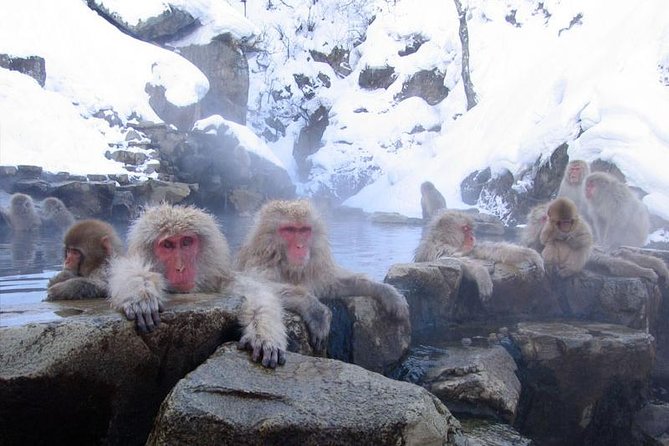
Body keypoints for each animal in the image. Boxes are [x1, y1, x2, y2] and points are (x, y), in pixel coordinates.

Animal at [108, 204, 287, 368]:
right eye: (167, 245)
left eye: (186, 242)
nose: (180, 268)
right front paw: (141, 294)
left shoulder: (221, 281)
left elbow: (257, 293)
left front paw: (264, 336)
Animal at [236, 200, 410, 352]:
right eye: (289, 230)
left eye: (304, 230)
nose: (300, 246)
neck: (289, 268)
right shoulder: (260, 264)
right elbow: (256, 286)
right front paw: (316, 310)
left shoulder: (312, 270)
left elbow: (332, 285)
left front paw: (385, 291)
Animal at [414, 210, 544, 300]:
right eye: (465, 228)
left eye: (470, 229)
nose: (472, 237)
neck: (445, 241)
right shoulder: (437, 248)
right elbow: (451, 258)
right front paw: (481, 273)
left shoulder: (469, 248)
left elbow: (489, 250)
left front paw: (531, 254)